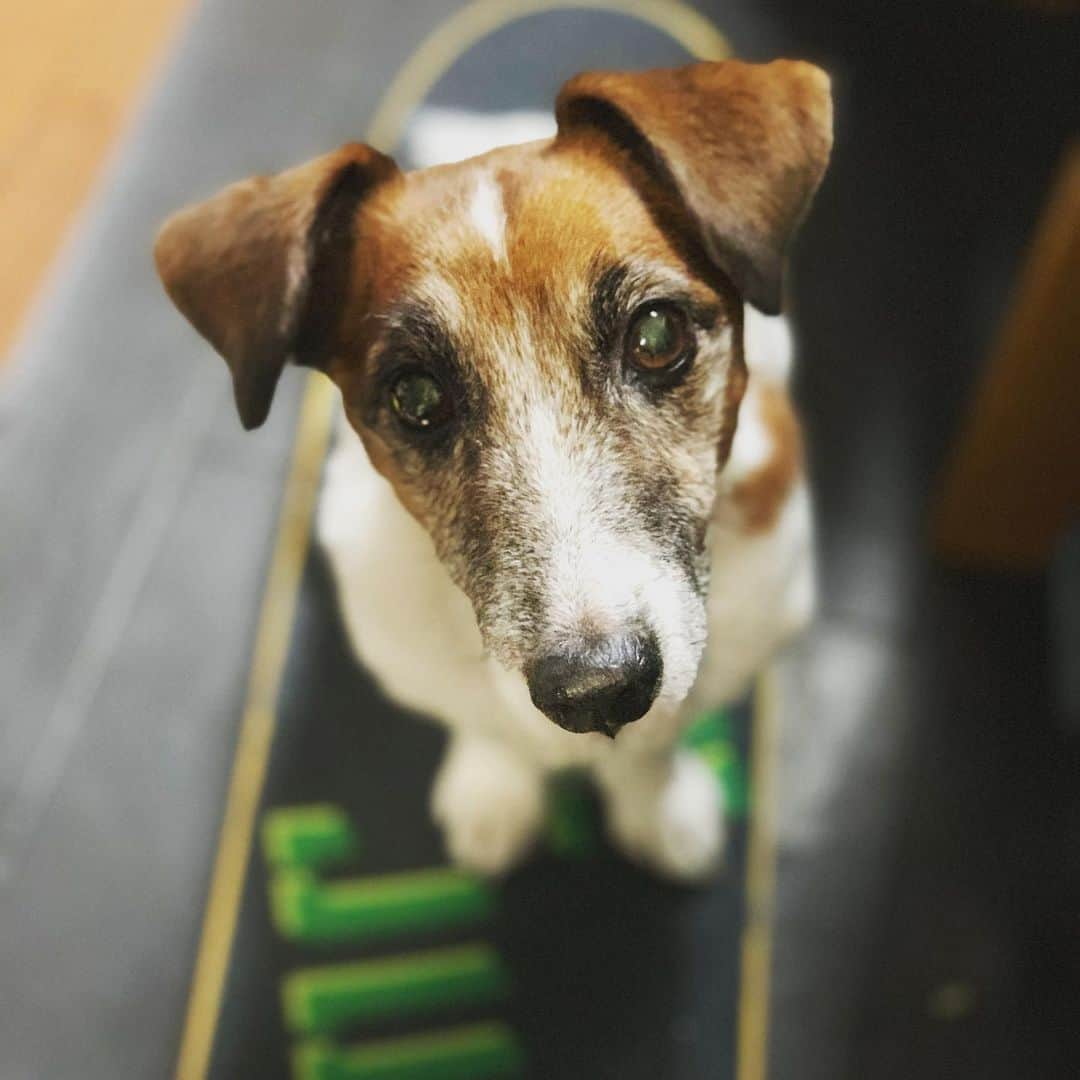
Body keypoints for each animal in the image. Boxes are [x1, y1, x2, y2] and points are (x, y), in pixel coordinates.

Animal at [152, 59, 829, 881]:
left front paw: (656, 807)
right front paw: (495, 795)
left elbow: (659, 740)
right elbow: (487, 725)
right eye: (415, 396)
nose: (598, 692)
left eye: (656, 335)